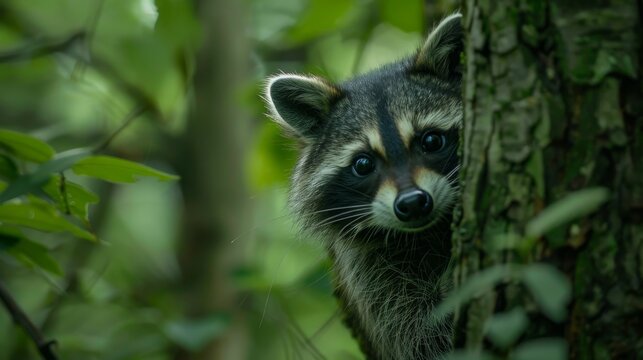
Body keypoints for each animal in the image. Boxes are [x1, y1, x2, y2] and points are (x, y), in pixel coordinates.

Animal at [266, 13, 462, 358]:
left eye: (431, 141)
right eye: (363, 164)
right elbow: (421, 335)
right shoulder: (370, 274)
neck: (426, 233)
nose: (412, 203)